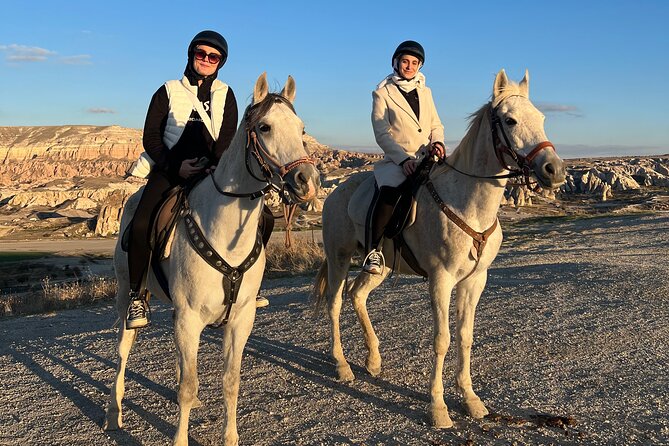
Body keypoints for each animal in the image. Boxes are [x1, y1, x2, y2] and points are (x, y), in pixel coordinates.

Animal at [104, 74, 320, 446]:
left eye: (302, 129)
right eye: (264, 127)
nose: (307, 181)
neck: (223, 232)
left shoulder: (239, 321)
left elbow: (230, 381)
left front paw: (229, 437)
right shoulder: (189, 318)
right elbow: (187, 386)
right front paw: (180, 438)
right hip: (125, 295)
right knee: (122, 350)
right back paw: (114, 413)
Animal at [314, 70, 564, 428]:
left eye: (541, 118)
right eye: (511, 120)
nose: (554, 170)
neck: (468, 204)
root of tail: (334, 192)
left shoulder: (475, 280)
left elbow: (465, 336)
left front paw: (470, 399)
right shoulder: (440, 280)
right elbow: (442, 340)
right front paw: (438, 407)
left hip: (381, 265)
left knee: (357, 295)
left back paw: (373, 360)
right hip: (339, 257)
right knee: (334, 304)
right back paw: (342, 365)